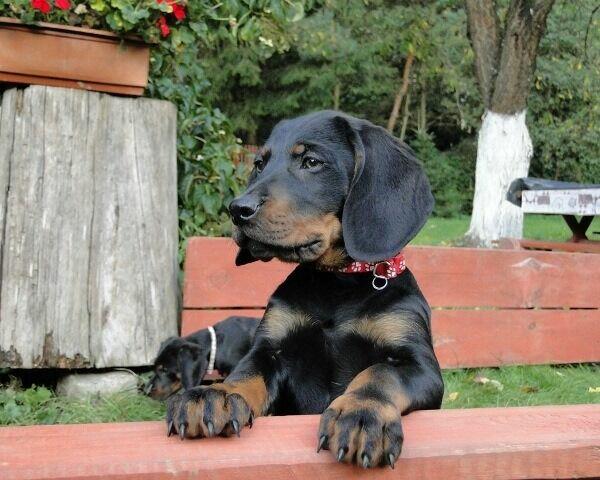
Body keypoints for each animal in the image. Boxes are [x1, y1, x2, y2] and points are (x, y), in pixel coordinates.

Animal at [166, 111, 442, 468]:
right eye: (259, 164)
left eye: (311, 162)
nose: (237, 209)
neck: (336, 283)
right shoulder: (270, 350)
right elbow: (245, 373)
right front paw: (218, 393)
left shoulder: (419, 364)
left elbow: (380, 373)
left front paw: (362, 414)